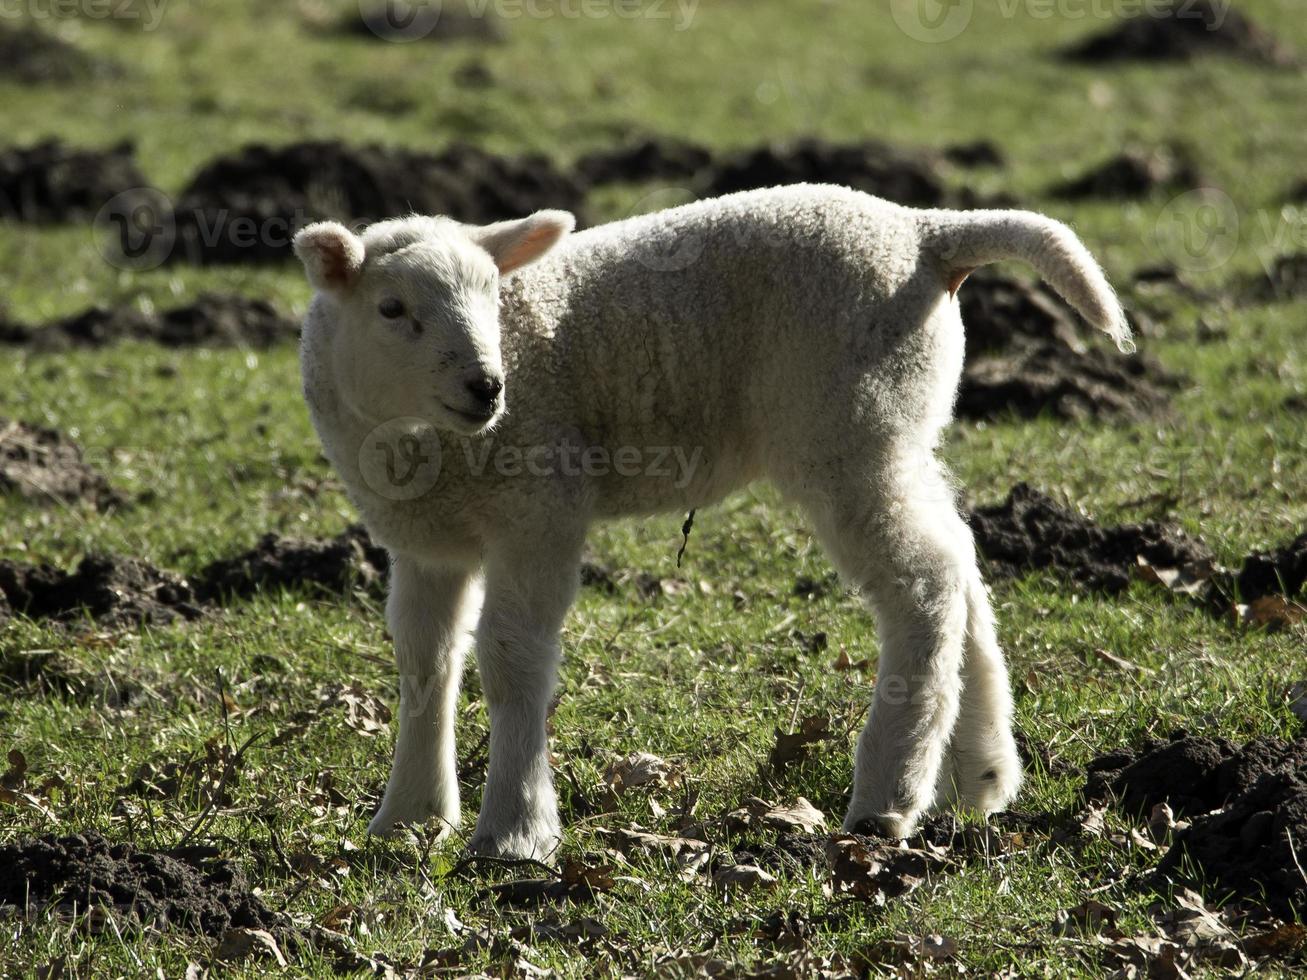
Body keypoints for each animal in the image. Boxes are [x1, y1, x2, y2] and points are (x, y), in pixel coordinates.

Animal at [291, 184, 1129, 857]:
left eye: (494, 299)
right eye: (392, 309)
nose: (486, 386)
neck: (424, 443)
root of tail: (925, 234)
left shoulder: (540, 504)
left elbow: (510, 657)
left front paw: (514, 831)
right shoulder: (425, 542)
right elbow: (424, 661)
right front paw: (409, 817)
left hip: (849, 425)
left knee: (920, 584)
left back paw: (886, 799)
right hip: (900, 426)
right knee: (957, 558)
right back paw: (978, 774)